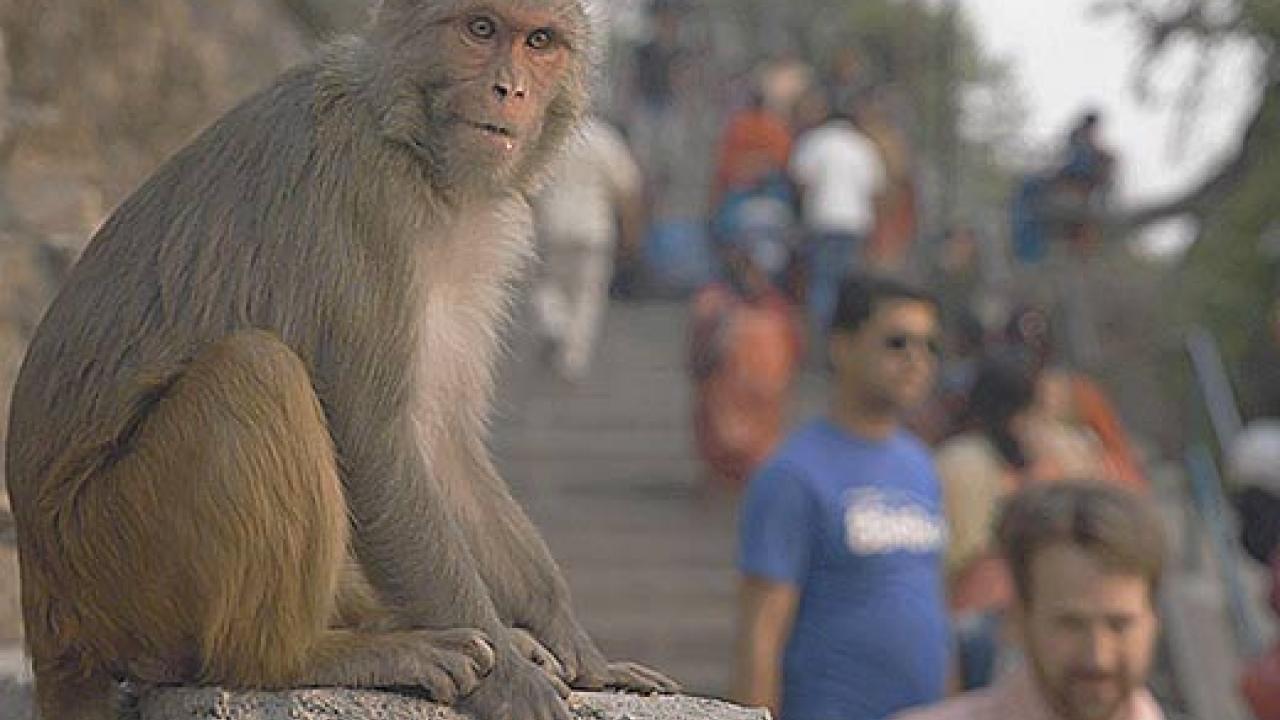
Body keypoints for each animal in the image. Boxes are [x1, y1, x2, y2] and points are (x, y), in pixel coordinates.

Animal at [2, 1, 677, 718]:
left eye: (540, 42)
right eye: (481, 29)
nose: (510, 89)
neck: (413, 143)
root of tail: (45, 603)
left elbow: (439, 443)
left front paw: (579, 652)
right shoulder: (368, 194)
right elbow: (374, 438)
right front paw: (512, 685)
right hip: (115, 558)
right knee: (256, 372)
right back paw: (303, 656)